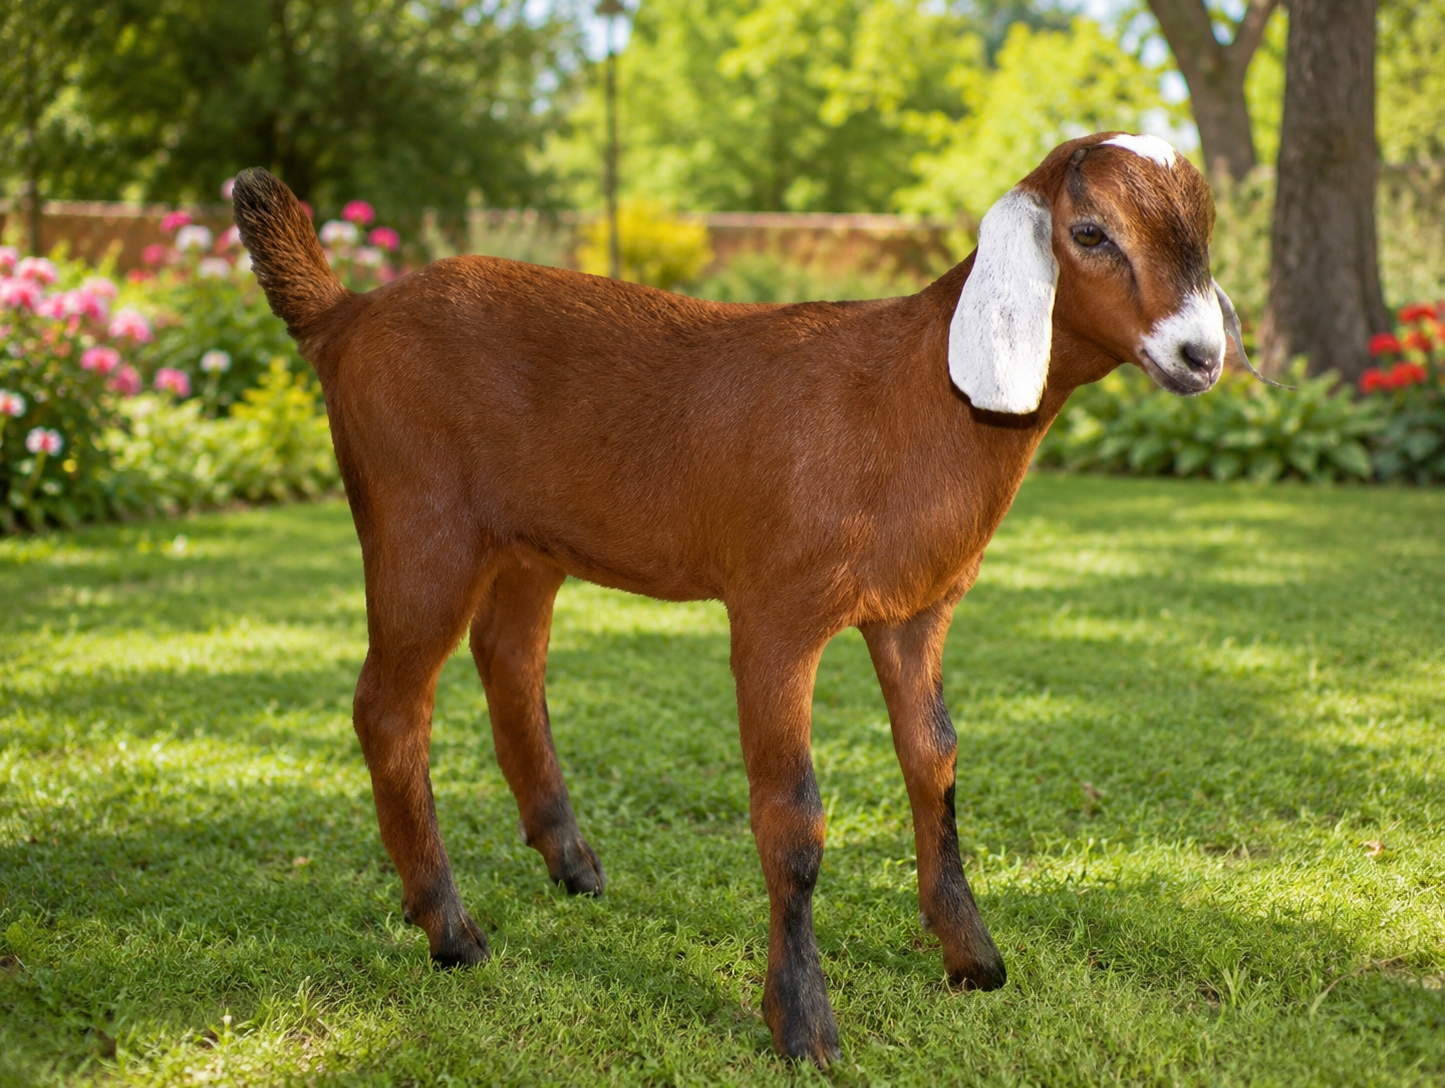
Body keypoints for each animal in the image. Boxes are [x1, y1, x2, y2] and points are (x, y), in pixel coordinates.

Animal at [232, 132, 1248, 1066]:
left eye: (1200, 235)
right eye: (1090, 232)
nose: (1200, 355)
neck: (913, 395)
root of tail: (347, 314)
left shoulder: (915, 613)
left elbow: (935, 761)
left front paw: (973, 957)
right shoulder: (774, 613)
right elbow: (791, 817)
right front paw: (801, 1024)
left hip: (527, 545)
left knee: (510, 663)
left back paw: (572, 866)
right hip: (419, 528)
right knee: (388, 707)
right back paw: (450, 931)